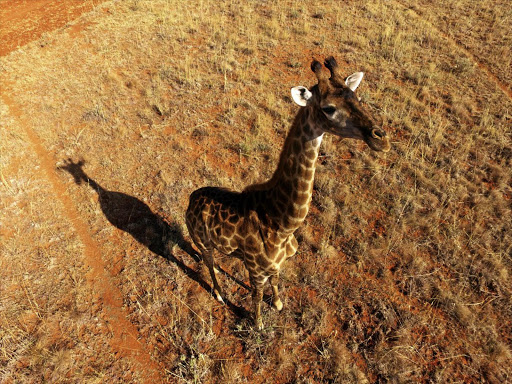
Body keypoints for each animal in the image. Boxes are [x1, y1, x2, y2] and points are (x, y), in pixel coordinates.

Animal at [186, 55, 390, 328]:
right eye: (328, 108)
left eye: (356, 97)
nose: (381, 139)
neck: (282, 223)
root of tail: (190, 199)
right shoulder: (255, 269)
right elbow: (257, 295)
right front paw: (258, 322)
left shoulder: (276, 265)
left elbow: (276, 281)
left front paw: (279, 304)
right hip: (203, 240)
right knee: (207, 262)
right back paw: (219, 294)